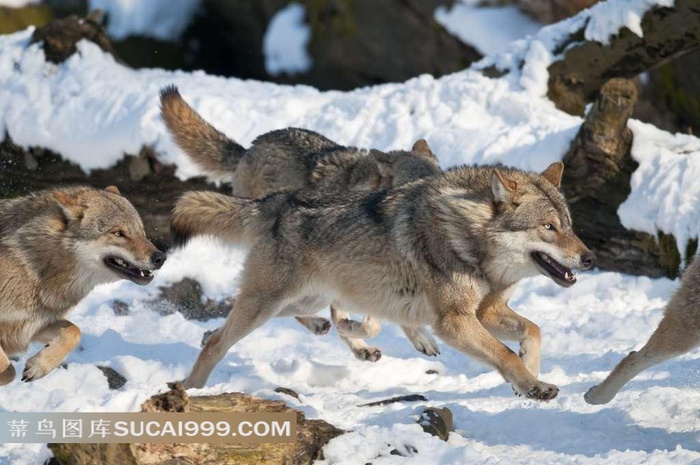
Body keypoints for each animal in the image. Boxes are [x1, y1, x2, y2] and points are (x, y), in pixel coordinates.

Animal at [0, 185, 166, 384]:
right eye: (118, 233)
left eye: (141, 231)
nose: (160, 258)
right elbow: (8, 372)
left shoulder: (35, 325)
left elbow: (74, 332)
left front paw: (39, 366)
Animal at [172, 160, 592, 396]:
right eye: (548, 228)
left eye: (569, 226)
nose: (589, 258)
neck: (470, 239)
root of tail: (278, 202)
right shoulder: (454, 322)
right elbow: (503, 352)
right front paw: (534, 385)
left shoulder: (485, 313)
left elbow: (533, 331)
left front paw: (529, 377)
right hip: (266, 305)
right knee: (219, 341)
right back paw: (190, 392)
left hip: (299, 299)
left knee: (233, 327)